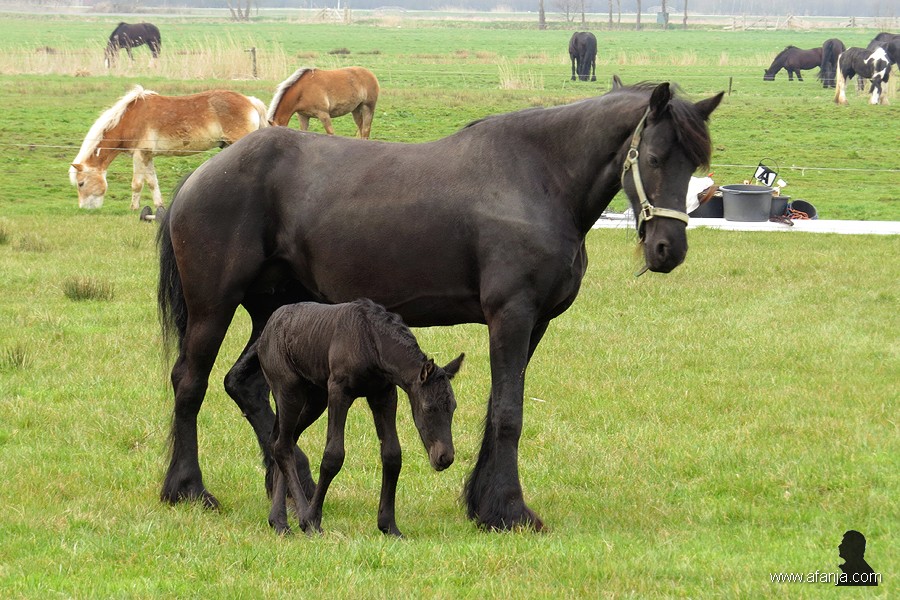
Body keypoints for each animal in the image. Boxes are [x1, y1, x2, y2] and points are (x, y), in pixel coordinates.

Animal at [70, 86, 267, 209]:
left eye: (81, 183)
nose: (84, 209)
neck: (130, 118)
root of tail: (249, 101)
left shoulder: (139, 155)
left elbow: (137, 184)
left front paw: (133, 208)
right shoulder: (147, 156)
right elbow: (152, 182)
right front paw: (159, 206)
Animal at [260, 299, 464, 536]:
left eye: (453, 408)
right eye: (428, 408)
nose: (444, 457)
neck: (372, 342)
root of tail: (267, 328)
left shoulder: (384, 394)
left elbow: (392, 454)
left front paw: (389, 525)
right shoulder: (338, 391)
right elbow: (333, 455)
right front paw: (312, 520)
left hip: (315, 399)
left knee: (283, 440)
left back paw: (278, 521)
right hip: (289, 391)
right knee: (282, 445)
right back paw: (301, 517)